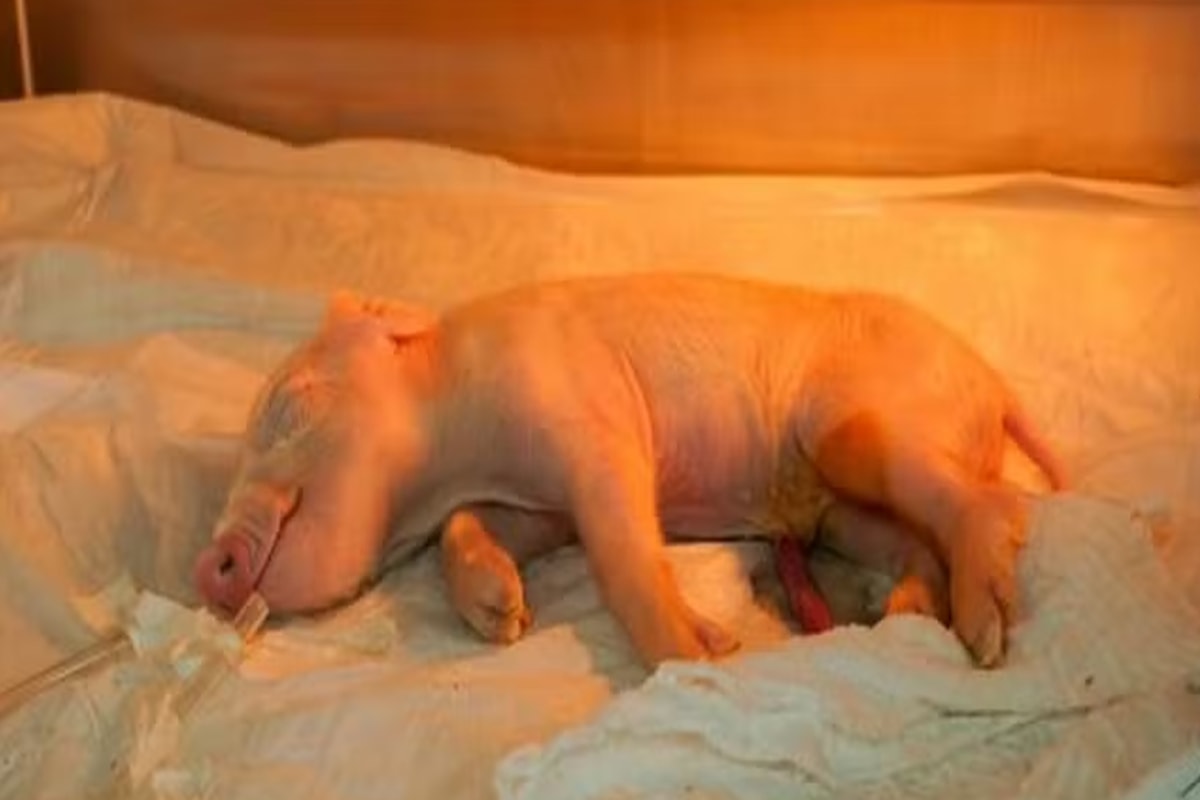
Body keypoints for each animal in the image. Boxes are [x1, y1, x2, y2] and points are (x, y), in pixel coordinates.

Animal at [194, 273, 1065, 668]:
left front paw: (704, 657)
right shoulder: (535, 502)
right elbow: (468, 529)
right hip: (841, 509)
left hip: (854, 428)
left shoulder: (594, 424)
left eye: (291, 404)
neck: (458, 450)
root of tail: (994, 387)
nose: (207, 567)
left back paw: (986, 638)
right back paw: (906, 613)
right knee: (917, 541)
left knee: (993, 504)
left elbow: (622, 552)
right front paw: (503, 617)